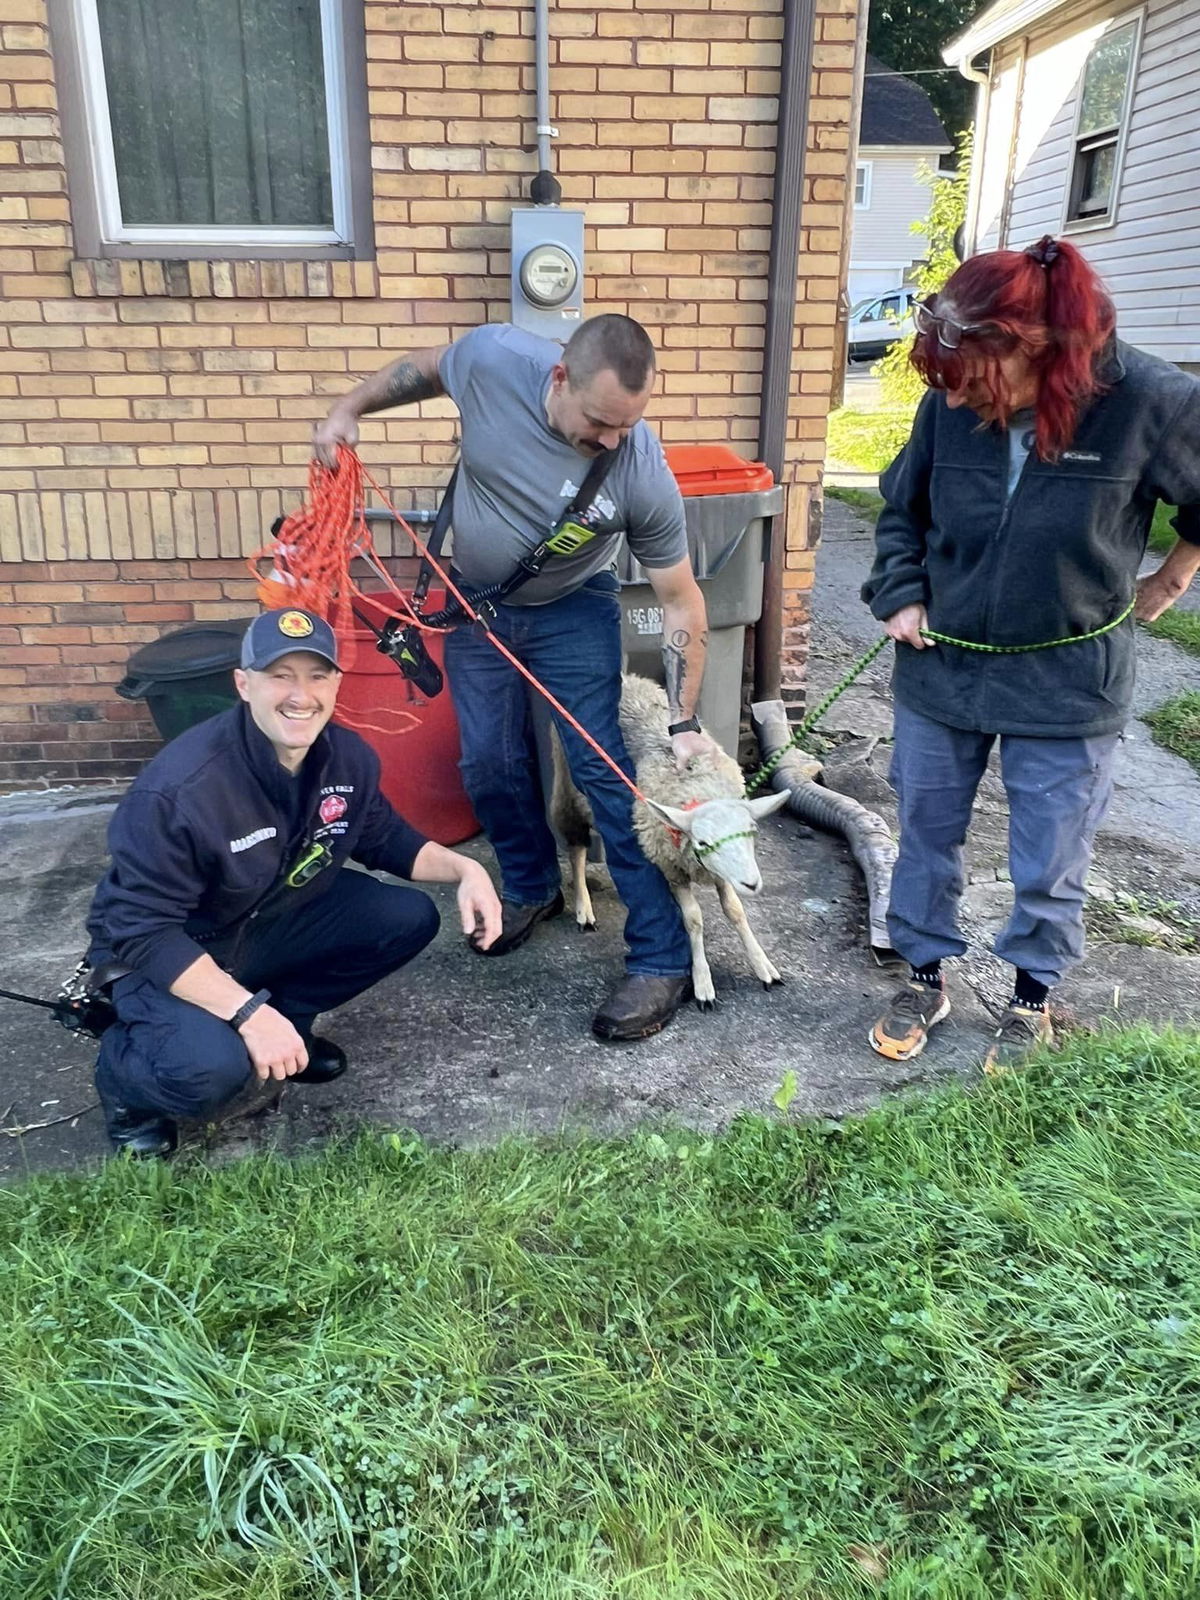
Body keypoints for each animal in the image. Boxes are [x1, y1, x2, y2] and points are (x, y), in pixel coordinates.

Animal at [550, 678, 793, 1004]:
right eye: (702, 842)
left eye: (752, 831)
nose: (752, 884)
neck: (697, 785)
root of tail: (628, 678)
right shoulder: (672, 867)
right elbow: (694, 920)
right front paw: (702, 981)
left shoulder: (718, 873)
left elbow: (736, 911)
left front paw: (762, 964)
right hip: (568, 790)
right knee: (577, 850)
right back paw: (583, 909)